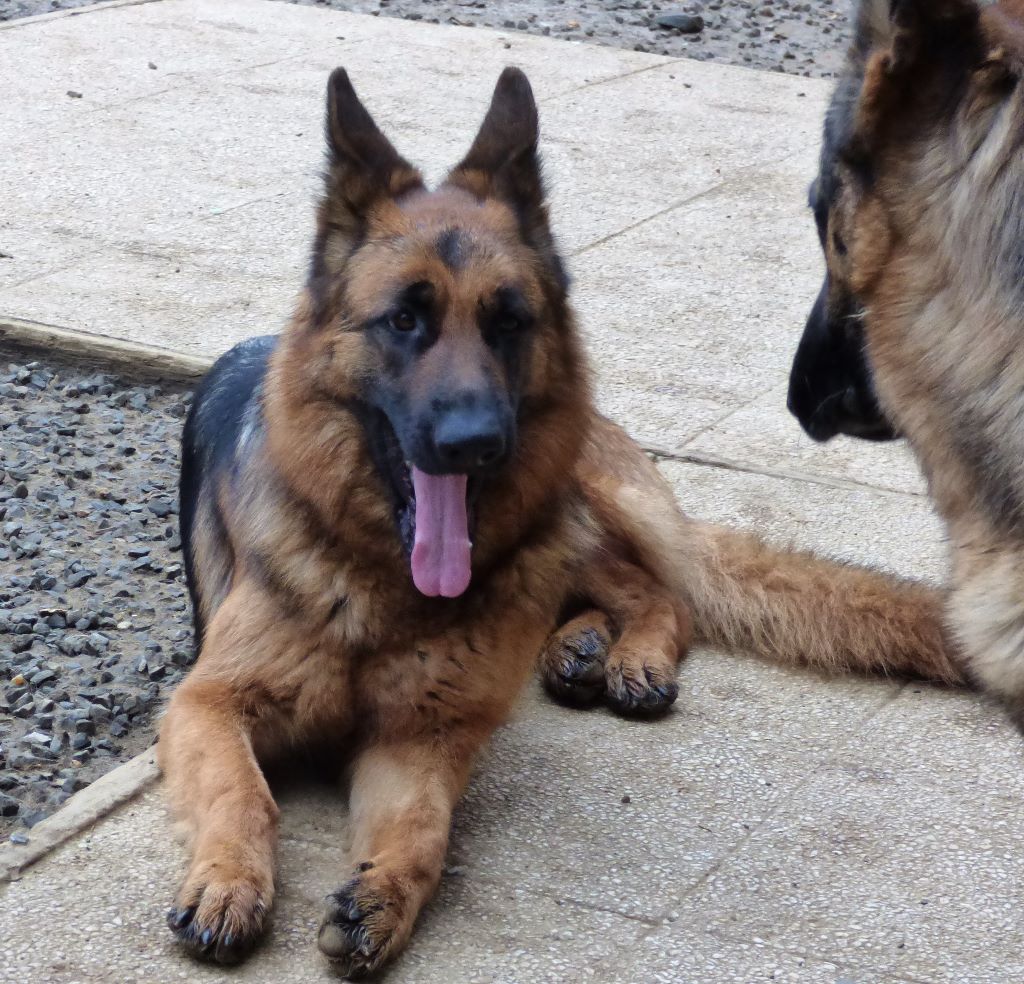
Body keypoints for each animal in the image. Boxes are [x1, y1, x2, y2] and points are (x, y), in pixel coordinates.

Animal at [157, 65, 958, 970]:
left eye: (509, 321)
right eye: (405, 319)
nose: (476, 443)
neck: (384, 584)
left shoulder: (423, 735)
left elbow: (424, 829)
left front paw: (385, 896)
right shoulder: (207, 704)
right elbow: (242, 791)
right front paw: (229, 881)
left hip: (573, 505)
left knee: (660, 590)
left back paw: (623, 652)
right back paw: (578, 645)